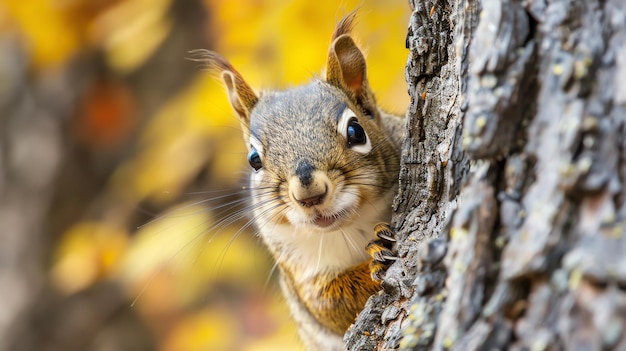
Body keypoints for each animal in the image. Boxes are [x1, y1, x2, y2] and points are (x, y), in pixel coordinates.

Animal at [191, 11, 404, 351]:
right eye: (254, 159)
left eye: (356, 131)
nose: (309, 194)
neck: (351, 228)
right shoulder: (299, 270)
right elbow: (331, 303)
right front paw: (376, 256)